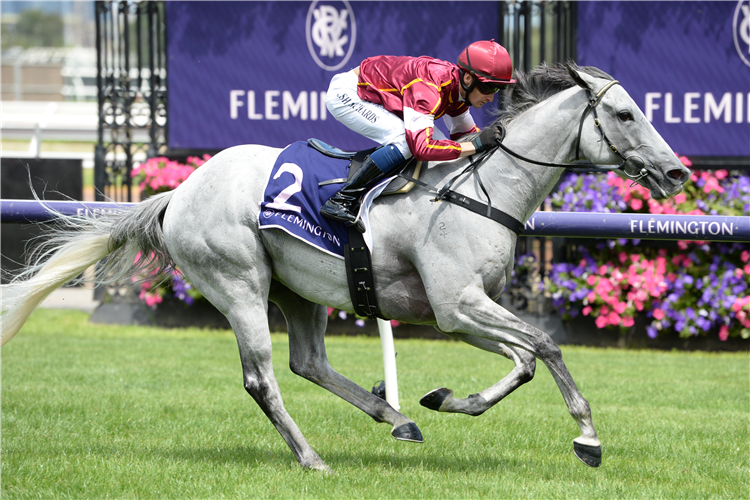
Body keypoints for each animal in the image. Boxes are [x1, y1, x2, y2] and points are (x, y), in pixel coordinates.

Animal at [1, 65, 692, 472]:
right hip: (240, 285)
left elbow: (523, 360)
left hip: (299, 290)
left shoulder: (467, 308)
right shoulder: (456, 306)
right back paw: (311, 458)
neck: (482, 189)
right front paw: (588, 438)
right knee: (263, 379)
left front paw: (447, 399)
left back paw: (398, 418)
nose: (677, 172)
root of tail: (181, 190)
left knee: (309, 363)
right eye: (626, 114)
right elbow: (546, 346)